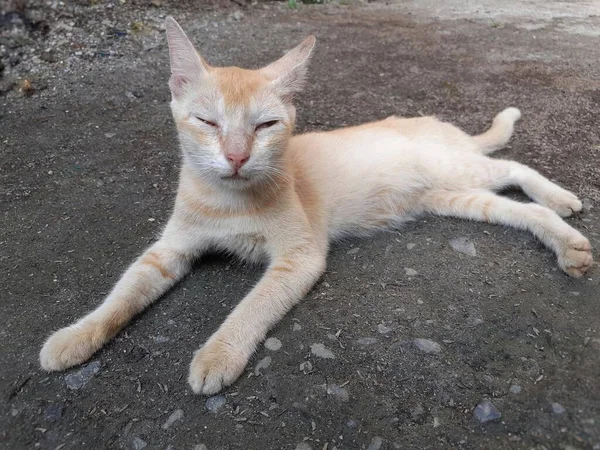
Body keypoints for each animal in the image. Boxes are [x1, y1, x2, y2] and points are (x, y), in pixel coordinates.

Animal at [39, 16, 592, 394]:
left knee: (516, 168)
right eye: (207, 122)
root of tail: (439, 126)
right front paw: (76, 336)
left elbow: (251, 306)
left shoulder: (298, 257)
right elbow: (123, 294)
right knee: (521, 209)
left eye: (265, 125)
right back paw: (566, 242)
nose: (236, 156)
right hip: (452, 196)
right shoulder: (167, 252)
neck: (227, 201)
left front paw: (218, 354)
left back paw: (561, 199)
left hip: (458, 169)